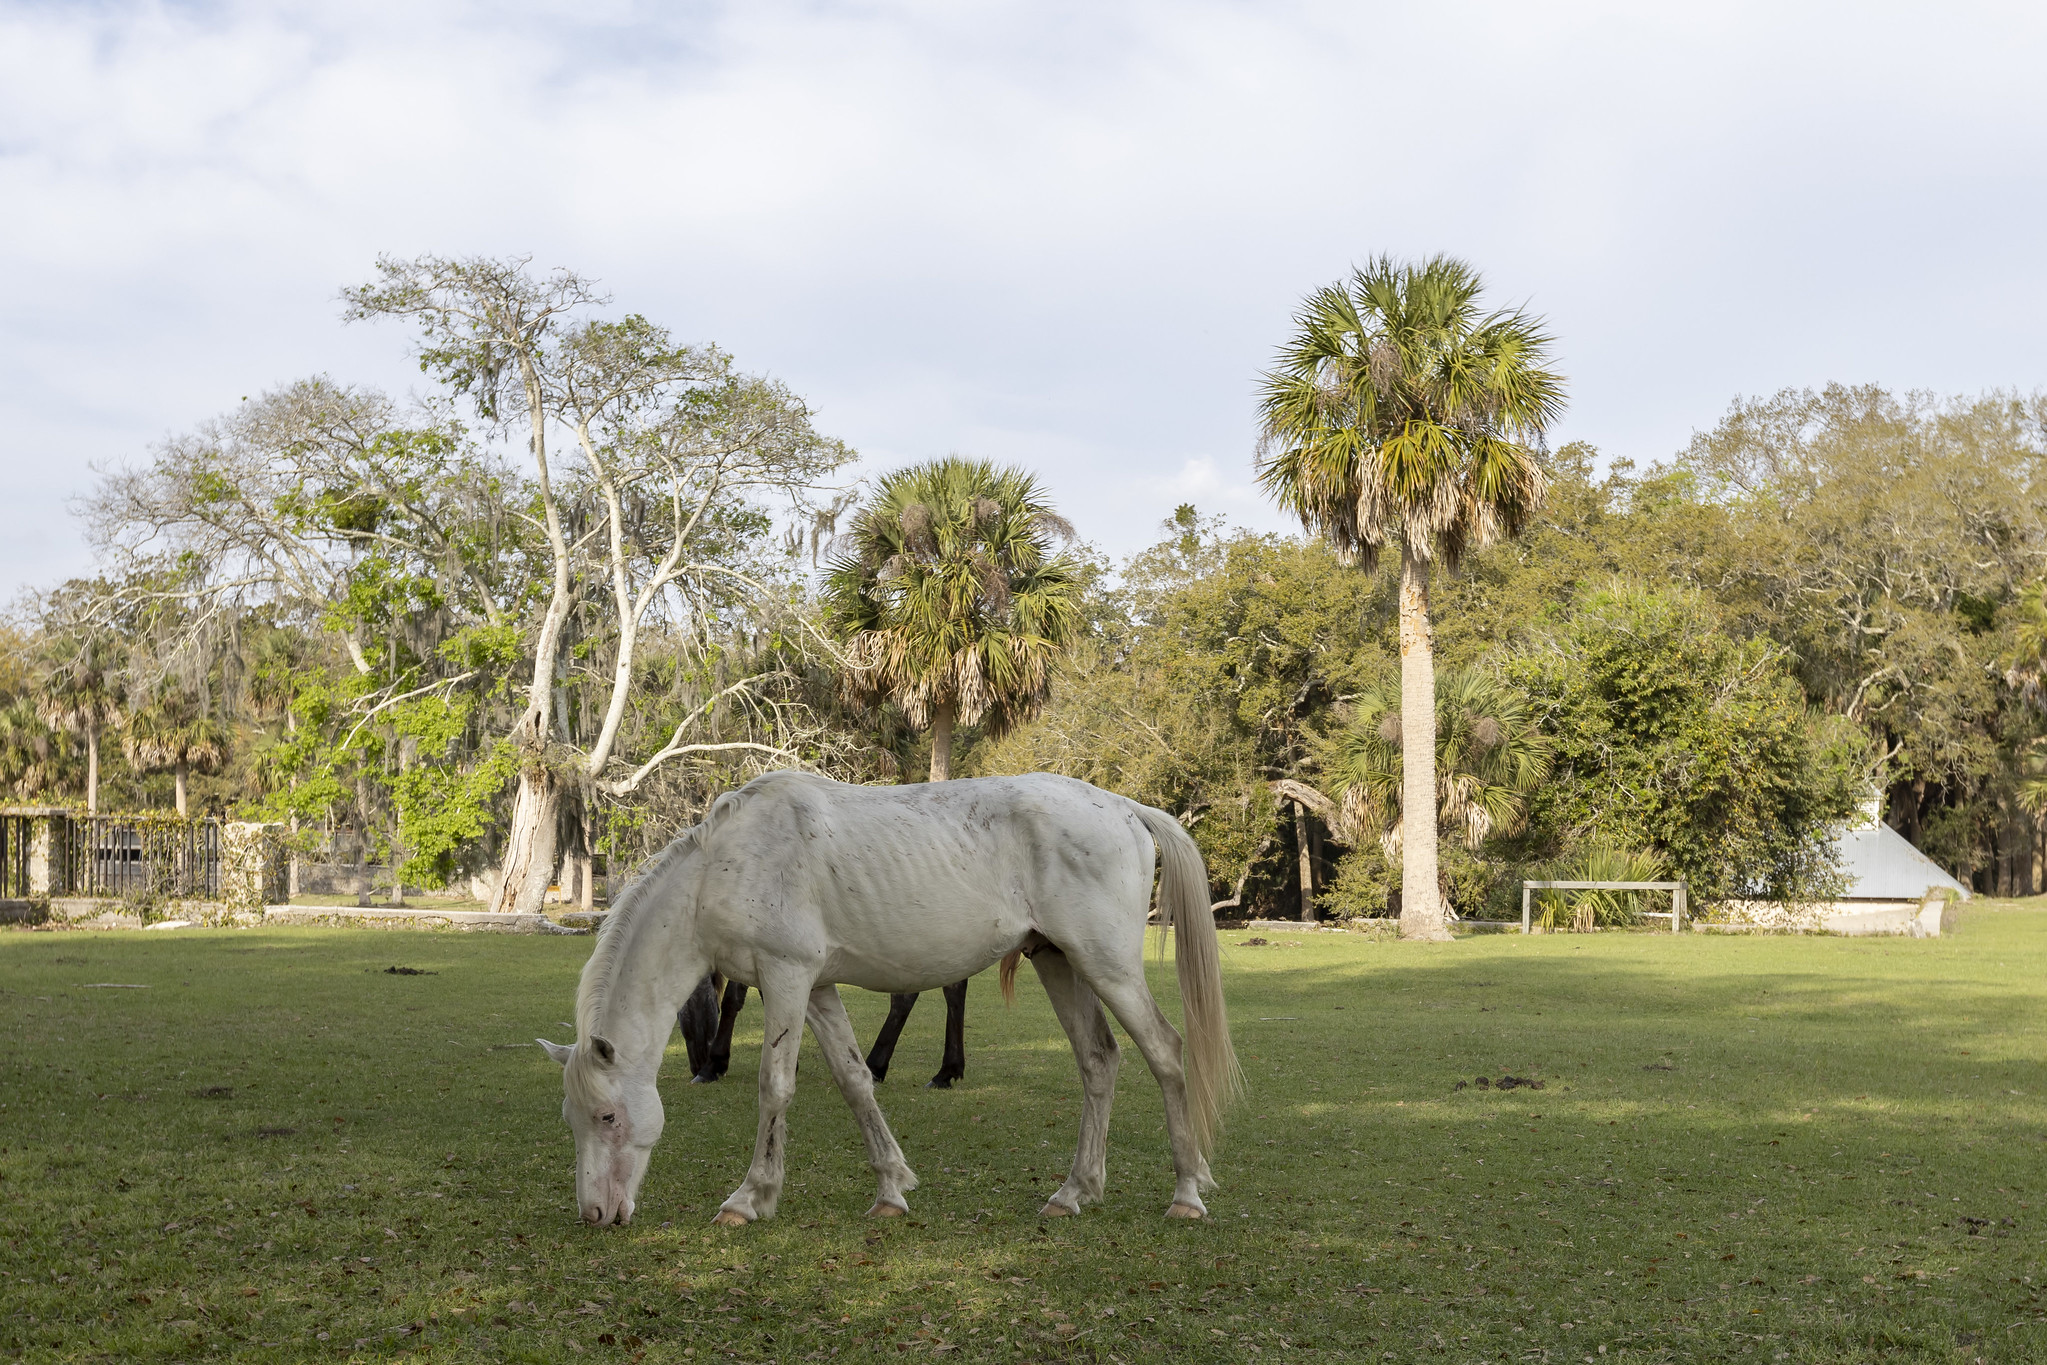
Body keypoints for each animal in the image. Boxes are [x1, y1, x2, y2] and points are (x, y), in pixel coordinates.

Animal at [536, 773, 1236, 1236]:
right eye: (573, 1120)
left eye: (607, 1118)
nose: (595, 1214)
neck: (721, 869)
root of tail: (1122, 808)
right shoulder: (816, 990)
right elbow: (854, 1082)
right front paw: (891, 1189)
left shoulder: (785, 978)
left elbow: (775, 1087)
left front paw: (750, 1197)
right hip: (1059, 961)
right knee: (1099, 1061)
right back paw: (1074, 1191)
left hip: (1105, 964)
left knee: (1165, 1051)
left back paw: (1186, 1193)